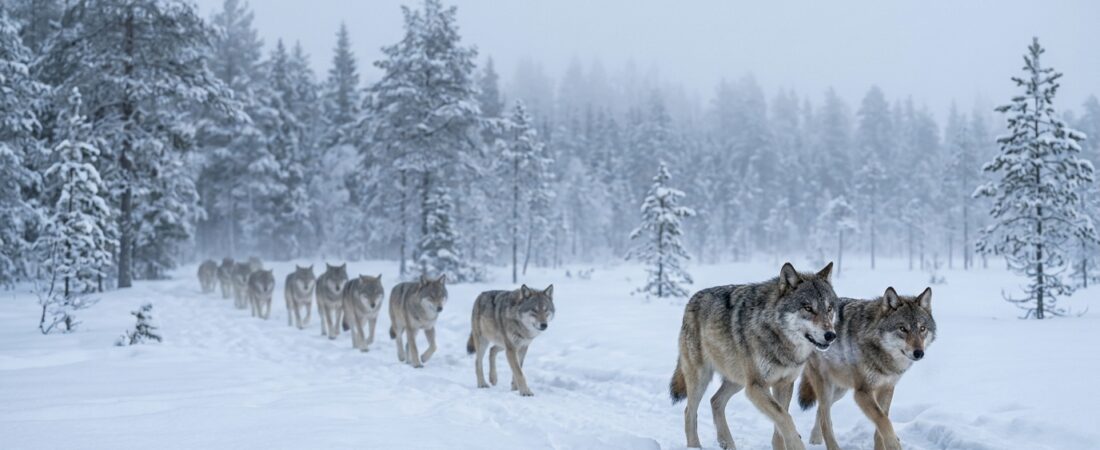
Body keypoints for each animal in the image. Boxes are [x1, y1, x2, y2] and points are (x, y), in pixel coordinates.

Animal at [670, 262, 836, 450]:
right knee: (689, 412)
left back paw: (727, 443)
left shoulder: (784, 384)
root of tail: (692, 299)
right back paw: (695, 446)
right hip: (702, 379)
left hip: (737, 381)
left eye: (829, 308)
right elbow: (785, 418)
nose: (831, 335)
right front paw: (796, 445)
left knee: (715, 401)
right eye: (808, 308)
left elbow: (780, 423)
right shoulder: (756, 386)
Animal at [798, 287, 936, 450]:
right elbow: (884, 421)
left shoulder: (887, 388)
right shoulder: (862, 392)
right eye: (903, 329)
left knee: (821, 411)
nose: (919, 353)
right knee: (825, 419)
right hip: (827, 387)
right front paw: (894, 445)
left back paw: (814, 439)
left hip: (840, 390)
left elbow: (880, 425)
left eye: (922, 329)